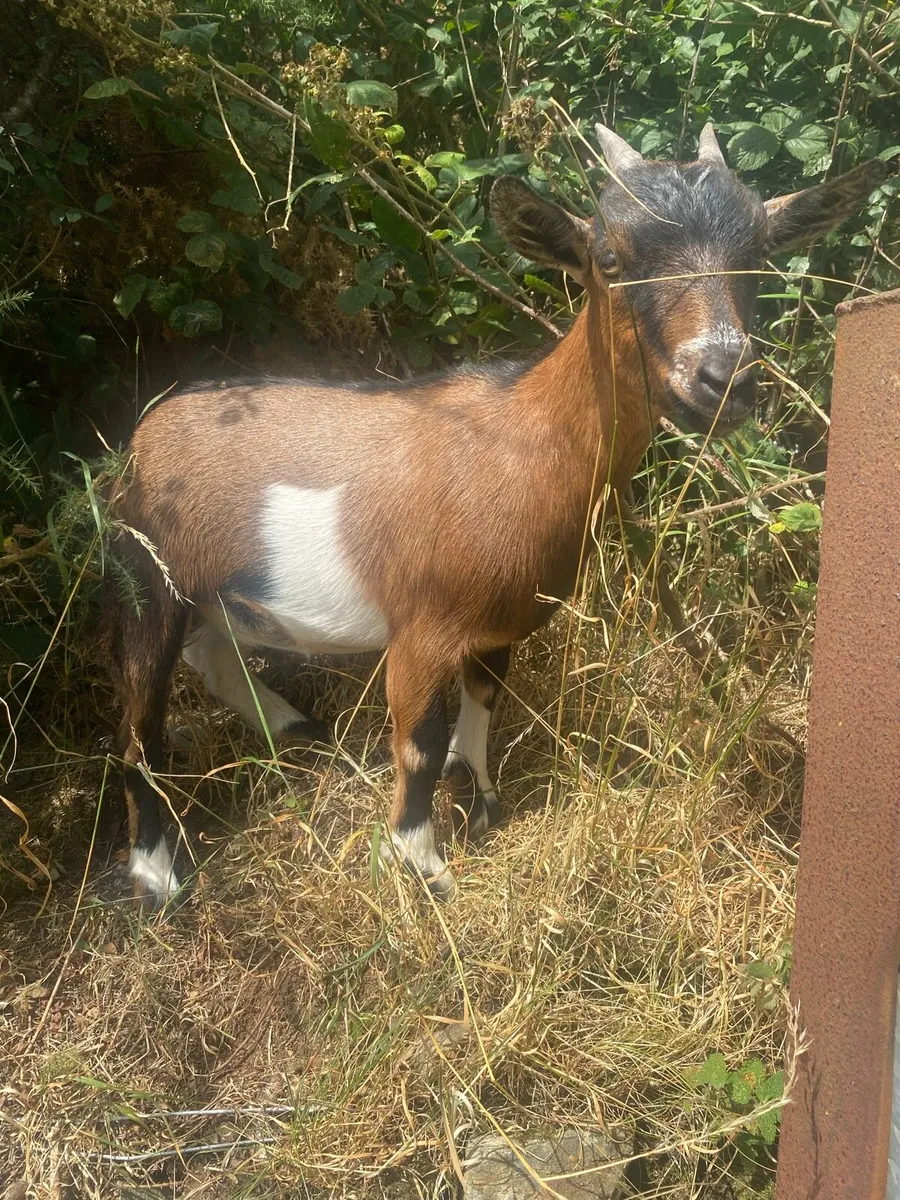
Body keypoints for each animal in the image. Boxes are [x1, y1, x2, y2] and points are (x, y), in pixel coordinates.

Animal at [103, 123, 885, 906]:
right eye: (608, 259)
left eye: (760, 253)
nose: (723, 380)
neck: (517, 442)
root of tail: (144, 434)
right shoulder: (419, 629)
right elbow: (417, 746)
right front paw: (423, 868)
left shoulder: (500, 622)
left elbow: (483, 704)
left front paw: (482, 802)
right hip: (147, 579)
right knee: (141, 721)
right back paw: (157, 874)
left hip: (214, 593)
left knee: (212, 656)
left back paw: (294, 730)